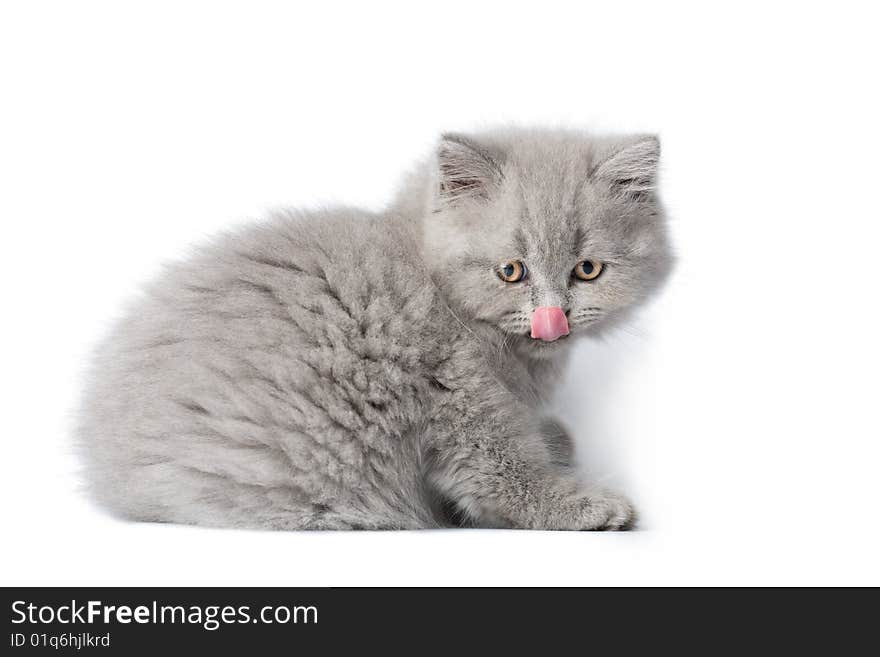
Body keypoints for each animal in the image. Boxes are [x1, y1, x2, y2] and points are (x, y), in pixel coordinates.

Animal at [75, 127, 672, 528]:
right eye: (511, 271)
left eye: (587, 270)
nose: (553, 319)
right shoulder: (458, 395)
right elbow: (503, 473)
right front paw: (584, 506)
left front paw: (556, 437)